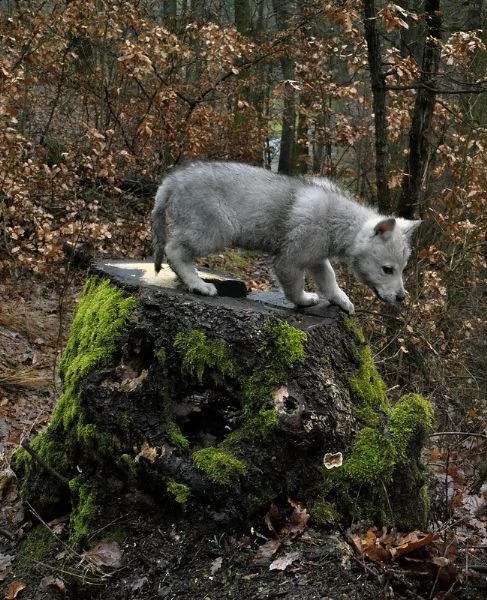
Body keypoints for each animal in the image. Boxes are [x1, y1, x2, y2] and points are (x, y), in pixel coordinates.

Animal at [154, 162, 422, 316]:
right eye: (387, 269)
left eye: (402, 269)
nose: (402, 298)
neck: (339, 222)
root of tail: (170, 181)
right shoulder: (289, 261)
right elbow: (295, 288)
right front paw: (304, 300)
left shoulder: (316, 258)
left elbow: (329, 279)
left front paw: (341, 300)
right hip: (215, 231)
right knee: (173, 249)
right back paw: (198, 284)